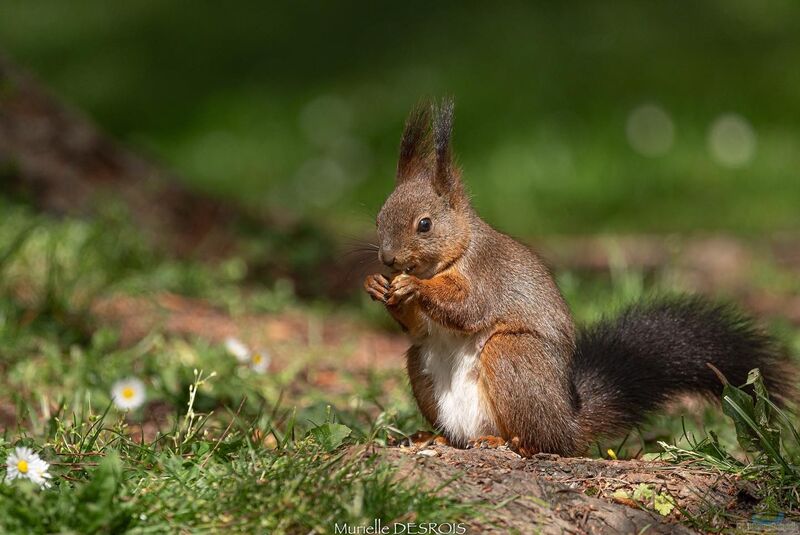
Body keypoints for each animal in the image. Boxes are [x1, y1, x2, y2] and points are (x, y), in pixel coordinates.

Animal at [366, 100, 796, 456]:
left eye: (424, 224)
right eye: (378, 217)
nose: (388, 259)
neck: (456, 251)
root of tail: (568, 424)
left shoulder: (487, 275)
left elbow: (468, 308)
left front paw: (414, 287)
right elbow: (418, 329)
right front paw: (378, 286)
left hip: (513, 356)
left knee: (540, 440)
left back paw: (508, 442)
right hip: (420, 364)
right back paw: (435, 437)